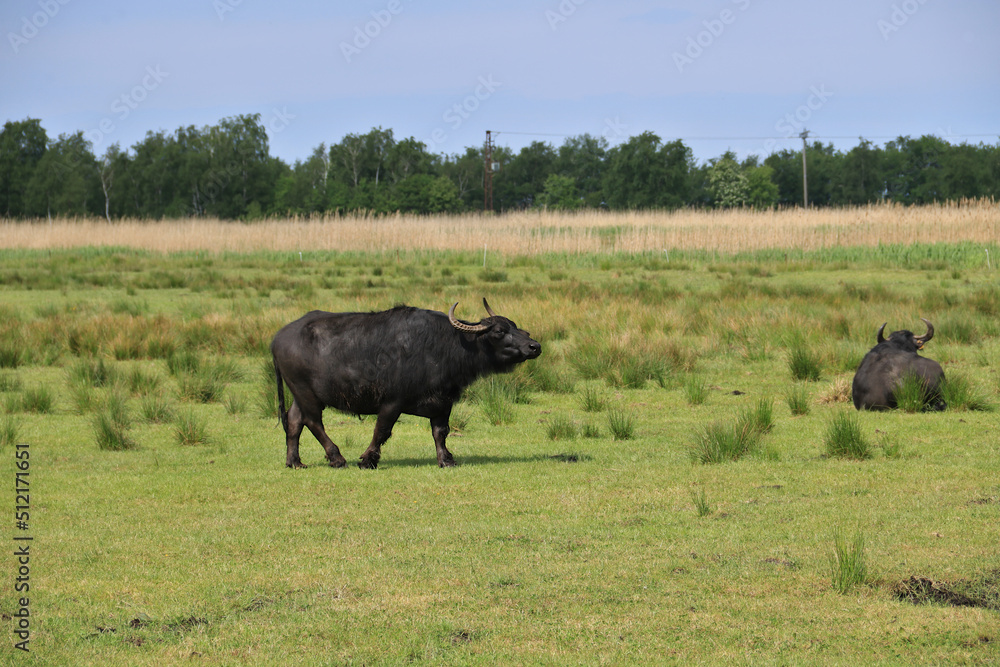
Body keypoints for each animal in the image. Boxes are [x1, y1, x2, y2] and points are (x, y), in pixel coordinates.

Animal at [270, 300, 544, 468]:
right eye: (498, 332)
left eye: (516, 327)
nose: (535, 346)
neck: (444, 346)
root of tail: (278, 337)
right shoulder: (392, 402)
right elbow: (382, 430)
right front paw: (367, 460)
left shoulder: (443, 402)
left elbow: (440, 432)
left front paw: (446, 460)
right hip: (307, 393)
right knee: (313, 422)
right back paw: (337, 458)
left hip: (298, 393)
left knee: (294, 421)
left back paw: (295, 461)